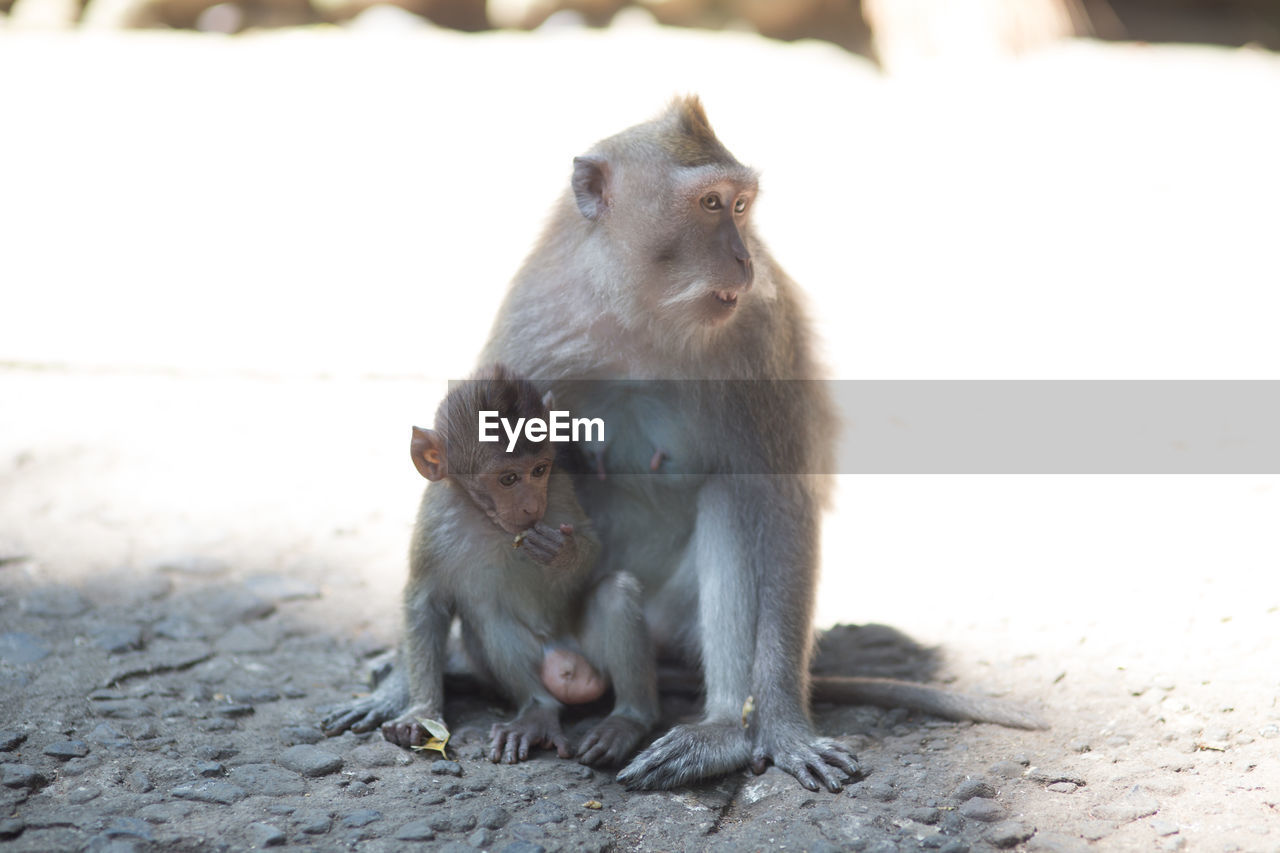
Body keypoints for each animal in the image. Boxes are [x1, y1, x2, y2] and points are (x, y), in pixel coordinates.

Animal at [381, 366, 655, 763]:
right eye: (508, 478)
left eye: (539, 470)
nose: (531, 507)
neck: (489, 519)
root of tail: (566, 660)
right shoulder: (435, 515)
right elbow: (425, 602)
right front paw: (420, 714)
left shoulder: (559, 488)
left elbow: (593, 544)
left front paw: (562, 554)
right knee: (485, 615)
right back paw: (537, 712)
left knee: (616, 593)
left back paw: (628, 721)